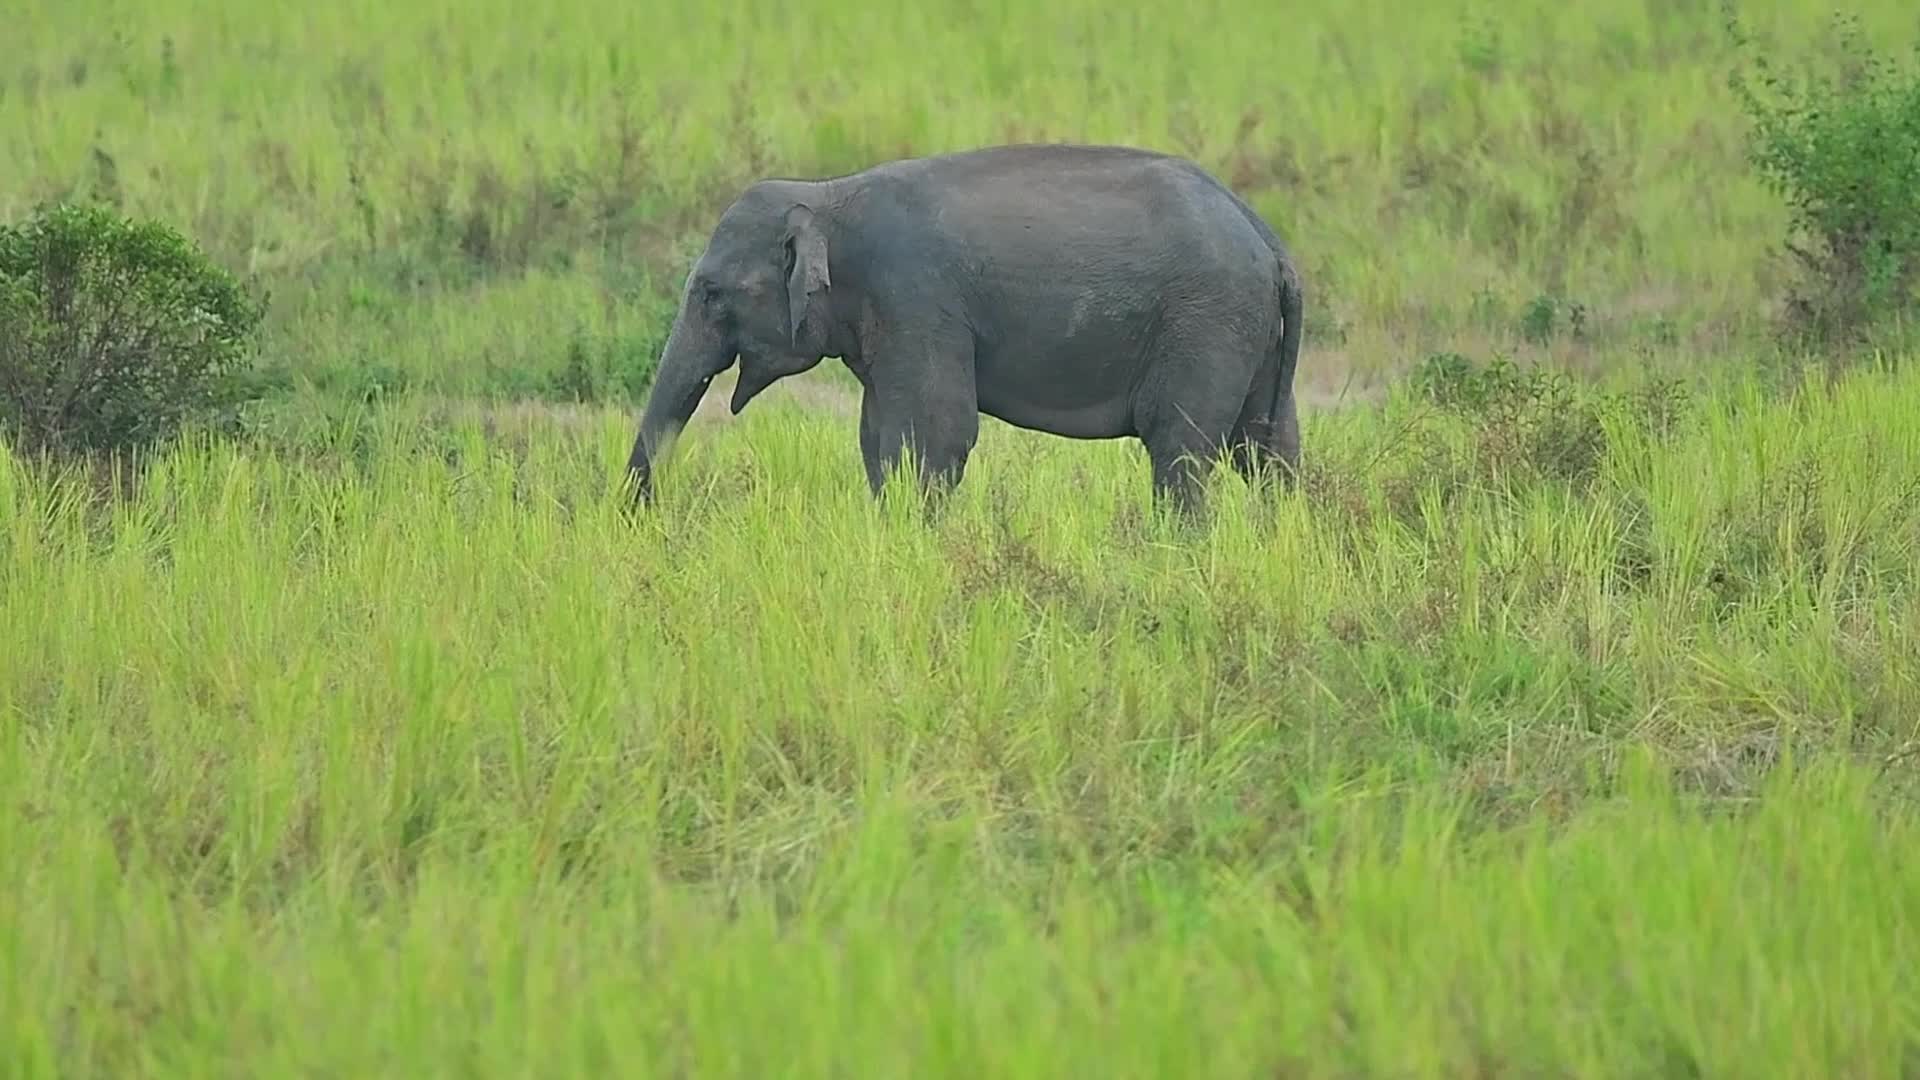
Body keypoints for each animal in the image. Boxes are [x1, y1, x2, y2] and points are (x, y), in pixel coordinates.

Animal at [623, 143, 1306, 515]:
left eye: (710, 294)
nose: (638, 518)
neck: (826, 196)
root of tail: (1268, 238)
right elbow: (879, 440)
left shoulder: (918, 301)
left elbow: (933, 437)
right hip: (1251, 334)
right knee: (1267, 451)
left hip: (1206, 322)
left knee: (1181, 449)